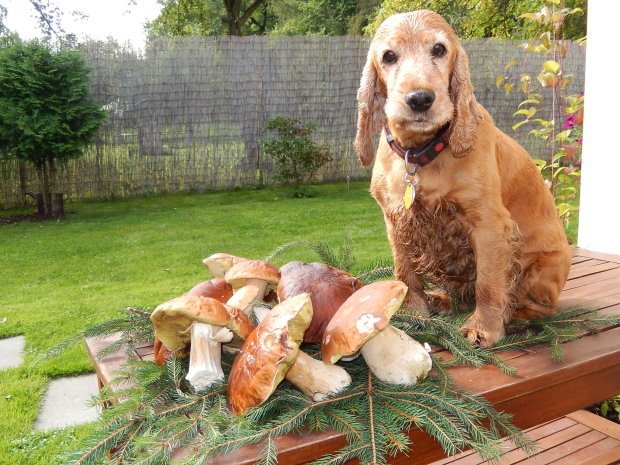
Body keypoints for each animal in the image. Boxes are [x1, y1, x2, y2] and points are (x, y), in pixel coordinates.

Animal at [354, 9, 572, 346]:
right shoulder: (396, 220)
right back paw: (440, 300)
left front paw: (484, 328)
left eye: (439, 49)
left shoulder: (489, 224)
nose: (420, 99)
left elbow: (489, 282)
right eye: (388, 56)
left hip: (545, 266)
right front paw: (413, 313)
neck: (421, 154)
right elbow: (405, 272)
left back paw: (516, 314)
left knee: (540, 305)